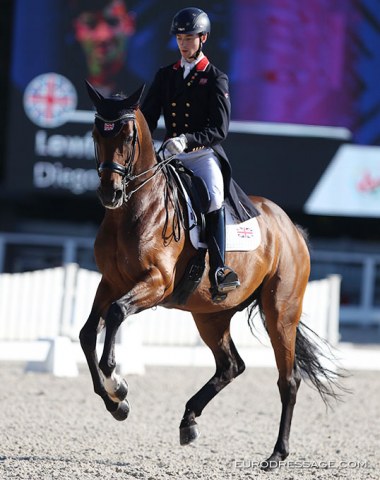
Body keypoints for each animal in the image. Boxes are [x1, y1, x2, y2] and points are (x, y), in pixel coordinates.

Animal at [80, 81, 342, 468]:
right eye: (97, 133)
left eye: (127, 136)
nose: (109, 192)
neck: (135, 209)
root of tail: (290, 228)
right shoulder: (111, 282)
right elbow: (87, 334)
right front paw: (116, 403)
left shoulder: (156, 283)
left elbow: (114, 315)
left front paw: (117, 383)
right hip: (211, 316)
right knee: (231, 366)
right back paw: (188, 421)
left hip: (280, 312)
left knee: (288, 380)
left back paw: (276, 454)